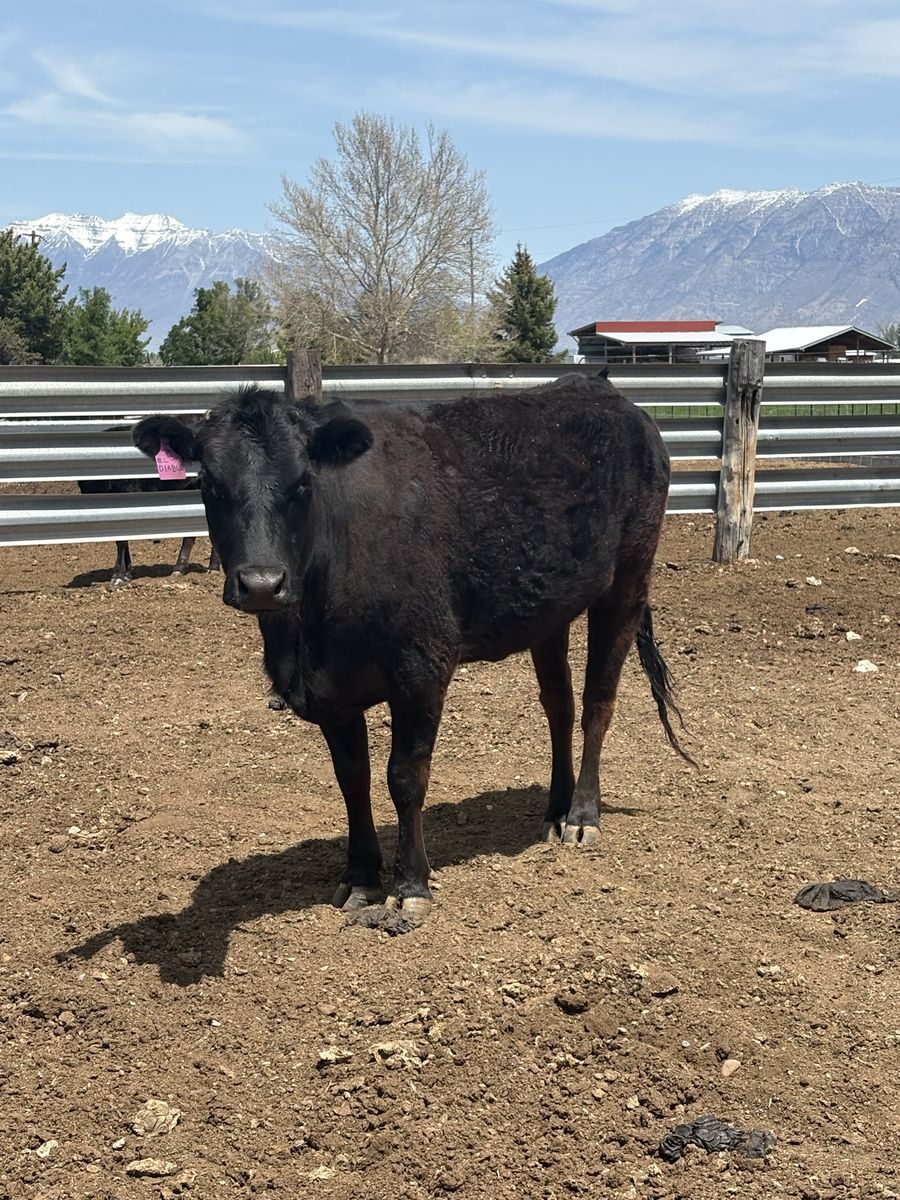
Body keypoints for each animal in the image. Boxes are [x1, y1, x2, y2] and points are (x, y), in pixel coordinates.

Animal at [133, 374, 692, 925]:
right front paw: (360, 877)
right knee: (559, 704)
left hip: (628, 580)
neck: (307, 634)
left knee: (598, 702)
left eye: (303, 482)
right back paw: (555, 809)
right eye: (209, 483)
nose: (263, 584)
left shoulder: (422, 666)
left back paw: (581, 815)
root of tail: (603, 390)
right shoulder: (330, 692)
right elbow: (352, 779)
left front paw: (409, 886)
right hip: (549, 608)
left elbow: (404, 776)